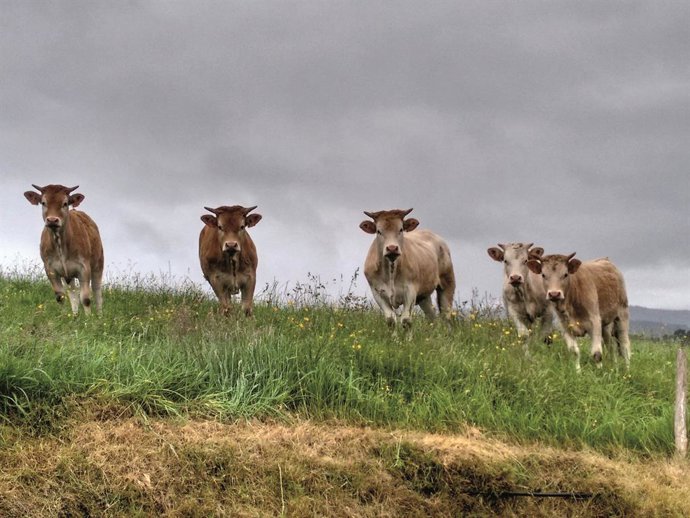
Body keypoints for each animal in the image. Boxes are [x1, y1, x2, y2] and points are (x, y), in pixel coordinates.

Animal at [24, 184, 104, 315]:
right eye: (43, 202)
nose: (52, 220)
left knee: (97, 291)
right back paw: (75, 316)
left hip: (98, 264)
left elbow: (86, 298)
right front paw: (63, 317)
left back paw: (100, 316)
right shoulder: (50, 269)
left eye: (65, 203)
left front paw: (89, 319)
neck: (61, 247)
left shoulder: (84, 268)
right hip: (68, 276)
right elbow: (60, 297)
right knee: (73, 293)